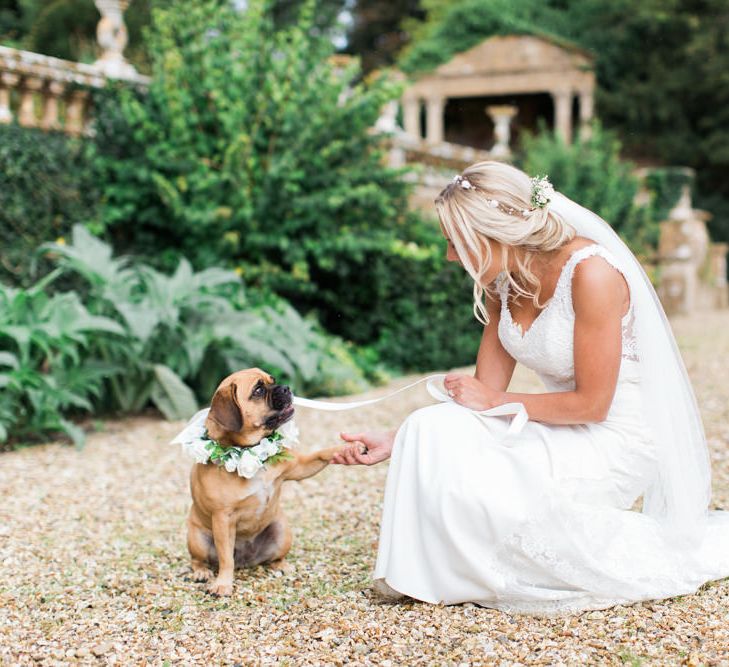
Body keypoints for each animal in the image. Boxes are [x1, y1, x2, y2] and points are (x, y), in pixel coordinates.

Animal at [182, 368, 342, 596]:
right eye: (258, 390)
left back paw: (281, 566)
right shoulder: (222, 519)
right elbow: (225, 559)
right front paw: (223, 583)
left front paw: (350, 448)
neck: (251, 451)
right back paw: (201, 572)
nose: (286, 388)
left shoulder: (299, 466)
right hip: (197, 540)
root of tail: (247, 559)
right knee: (199, 560)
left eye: (272, 381)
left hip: (282, 531)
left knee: (274, 558)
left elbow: (321, 454)